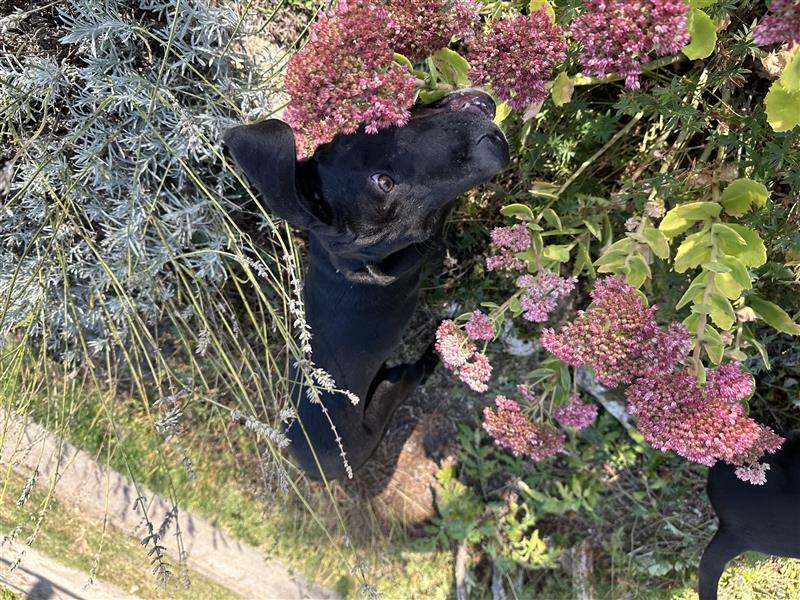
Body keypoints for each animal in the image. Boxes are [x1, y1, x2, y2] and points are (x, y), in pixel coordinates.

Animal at [222, 89, 510, 480]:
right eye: (384, 181)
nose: (494, 151)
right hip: (392, 387)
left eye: (423, 224)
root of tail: (318, 469)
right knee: (417, 371)